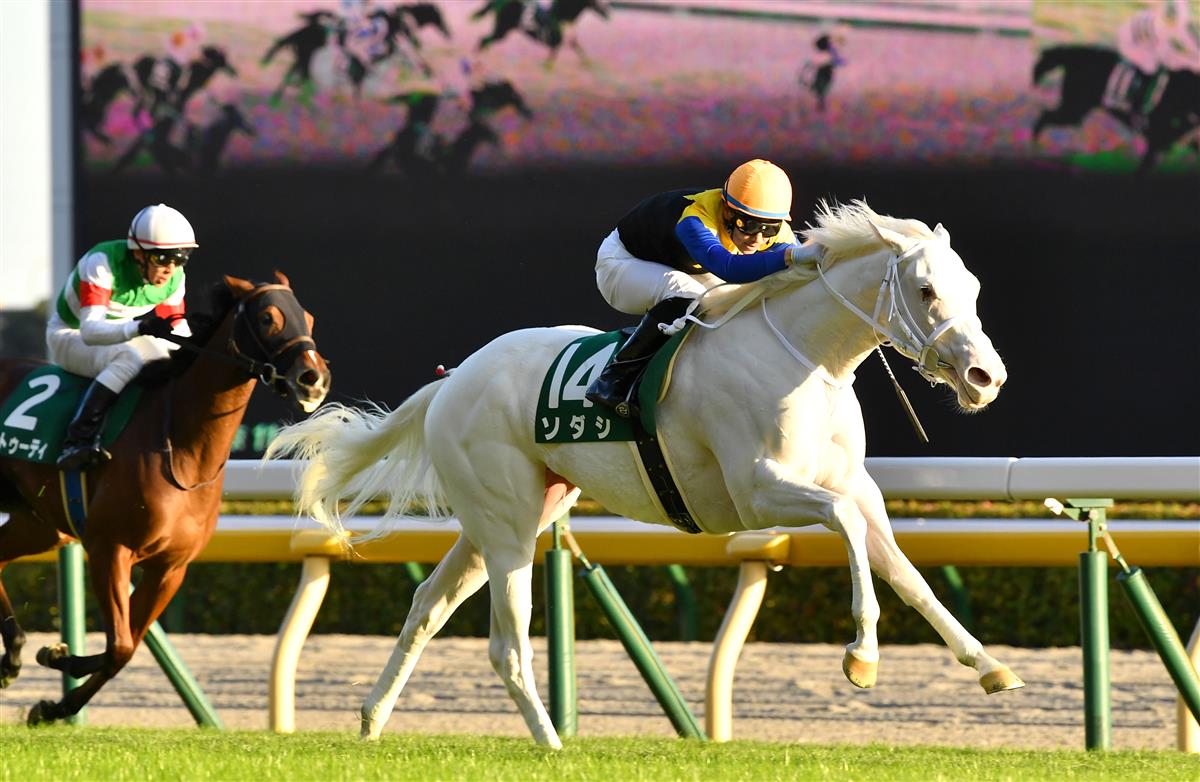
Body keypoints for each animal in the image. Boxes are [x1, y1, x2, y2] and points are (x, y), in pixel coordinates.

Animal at [0, 273, 330, 724]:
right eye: (267, 318)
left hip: (40, 526)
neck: (183, 451)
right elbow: (120, 644)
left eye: (309, 318)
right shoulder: (109, 547)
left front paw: (55, 692)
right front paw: (58, 668)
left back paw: (12, 654)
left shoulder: (170, 567)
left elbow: (124, 649)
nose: (313, 377)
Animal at [267, 200, 1022, 748]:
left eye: (974, 287)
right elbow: (846, 533)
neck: (805, 356)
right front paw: (861, 655)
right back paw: (551, 743)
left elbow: (906, 572)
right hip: (509, 525)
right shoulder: (756, 492)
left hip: (510, 514)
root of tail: (453, 380)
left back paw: (371, 719)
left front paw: (988, 665)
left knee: (427, 605)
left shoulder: (856, 487)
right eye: (925, 289)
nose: (986, 377)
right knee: (506, 644)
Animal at [1033, 45, 1200, 172]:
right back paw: (1036, 143)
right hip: (1073, 108)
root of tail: (1075, 53)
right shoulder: (1157, 139)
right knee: (1044, 116)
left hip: (1076, 108)